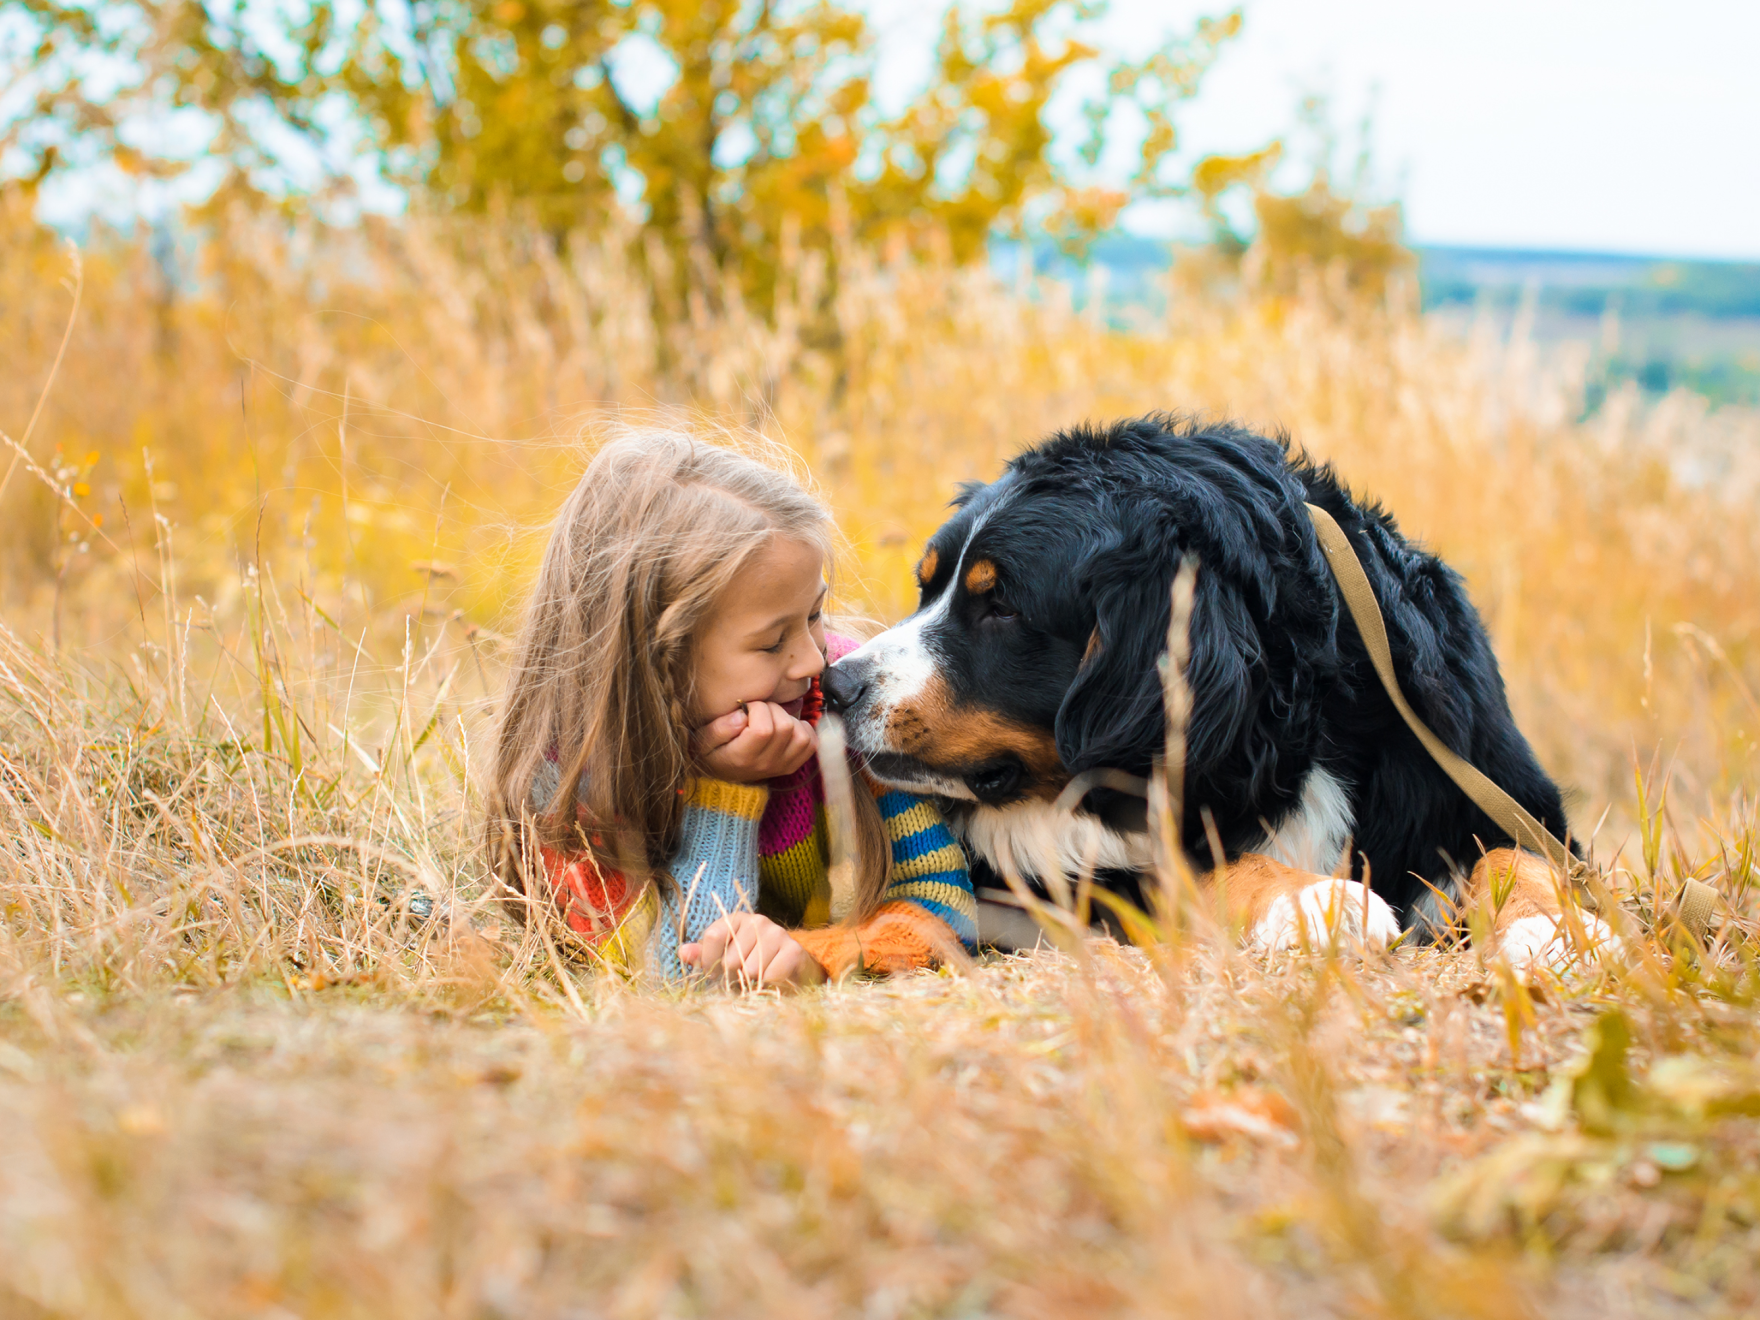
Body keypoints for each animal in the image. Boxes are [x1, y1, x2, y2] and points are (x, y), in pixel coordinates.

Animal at [823, 418, 1612, 964]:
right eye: (928, 588)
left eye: (1001, 607)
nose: (836, 684)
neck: (1290, 727)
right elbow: (1217, 869)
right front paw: (1317, 900)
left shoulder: (1484, 782)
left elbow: (1519, 859)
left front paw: (1553, 929)